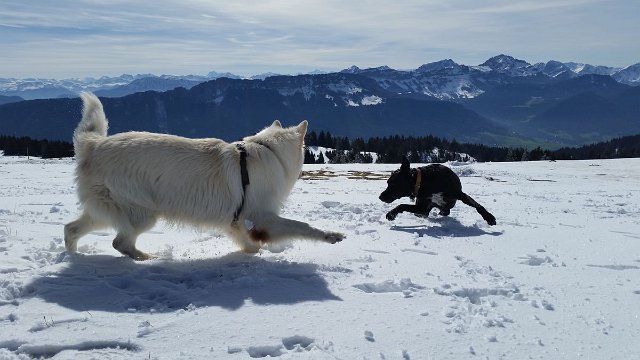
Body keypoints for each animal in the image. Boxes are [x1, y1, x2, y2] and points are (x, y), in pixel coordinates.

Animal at [63, 93, 344, 260]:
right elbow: (302, 226)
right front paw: (331, 236)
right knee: (119, 243)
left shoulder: (236, 221)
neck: (270, 151)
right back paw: (148, 259)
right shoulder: (263, 216)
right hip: (141, 213)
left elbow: (249, 242)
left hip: (105, 211)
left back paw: (74, 257)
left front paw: (248, 252)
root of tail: (94, 145)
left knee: (72, 229)